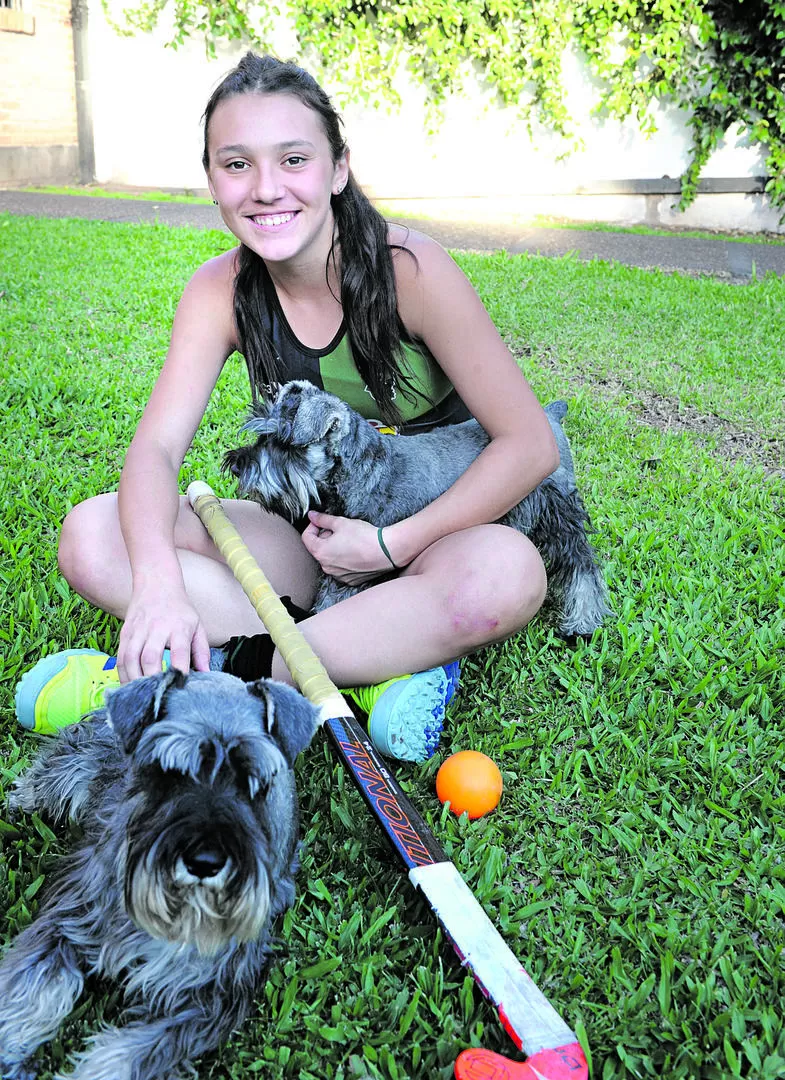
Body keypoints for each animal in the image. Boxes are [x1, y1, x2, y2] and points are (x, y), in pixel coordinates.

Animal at [0, 665, 319, 1080]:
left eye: (253, 781)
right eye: (170, 771)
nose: (205, 862)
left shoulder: (209, 995)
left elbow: (134, 1053)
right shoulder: (70, 919)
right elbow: (29, 992)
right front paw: (9, 1052)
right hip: (76, 761)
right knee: (47, 778)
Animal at [224, 380, 608, 635]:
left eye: (283, 443)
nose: (237, 464)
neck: (365, 470)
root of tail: (550, 415)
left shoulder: (351, 571)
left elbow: (334, 601)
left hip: (559, 511)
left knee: (582, 563)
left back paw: (583, 620)